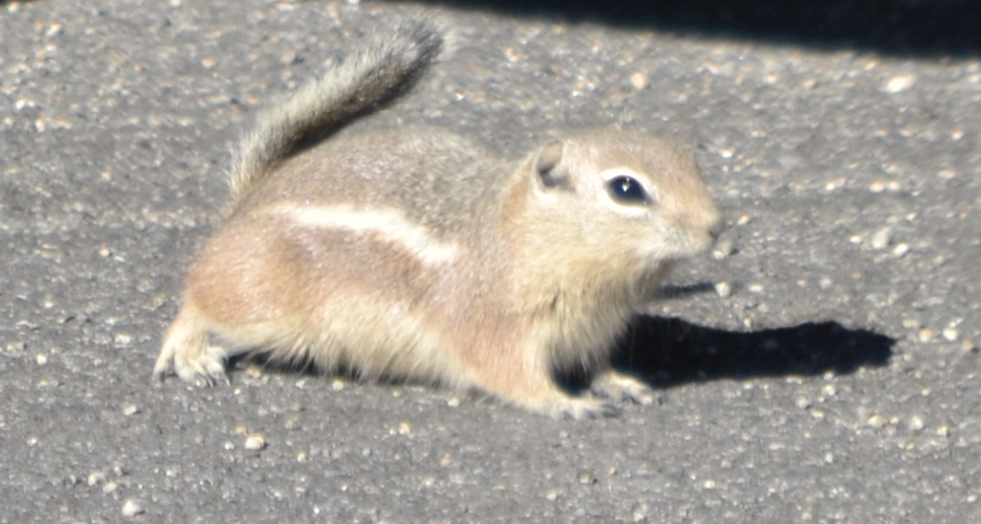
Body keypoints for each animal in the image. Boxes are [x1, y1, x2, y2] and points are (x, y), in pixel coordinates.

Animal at [151, 18, 720, 418]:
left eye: (691, 161)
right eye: (626, 189)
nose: (716, 227)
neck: (519, 235)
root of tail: (250, 200)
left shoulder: (591, 331)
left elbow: (597, 365)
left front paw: (621, 383)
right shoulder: (490, 324)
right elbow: (512, 375)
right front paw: (566, 403)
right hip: (256, 298)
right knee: (195, 301)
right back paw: (189, 351)